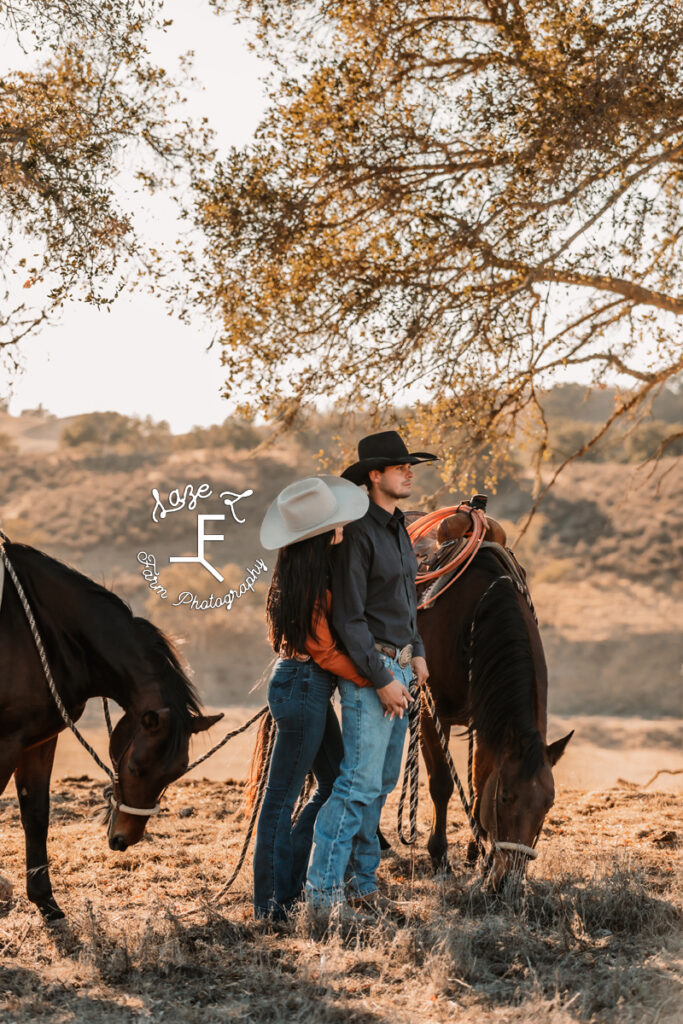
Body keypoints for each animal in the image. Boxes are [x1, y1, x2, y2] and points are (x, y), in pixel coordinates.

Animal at [0, 540, 222, 925]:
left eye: (173, 775)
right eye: (134, 768)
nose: (124, 840)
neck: (37, 628)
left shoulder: (37, 740)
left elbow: (37, 814)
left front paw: (46, 902)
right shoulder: (5, 741)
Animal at [409, 503, 573, 888]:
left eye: (548, 805)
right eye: (506, 797)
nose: (507, 882)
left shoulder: (487, 720)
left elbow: (479, 778)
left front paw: (476, 856)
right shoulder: (432, 711)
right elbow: (442, 784)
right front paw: (440, 857)